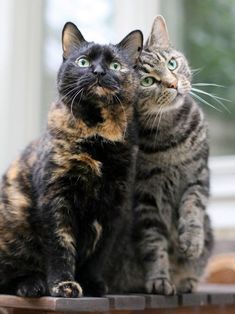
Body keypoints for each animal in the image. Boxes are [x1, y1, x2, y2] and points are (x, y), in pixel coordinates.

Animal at [0, 22, 143, 296]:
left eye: (116, 65)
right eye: (83, 61)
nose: (98, 71)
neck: (99, 138)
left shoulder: (114, 206)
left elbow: (99, 254)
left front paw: (93, 284)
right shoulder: (56, 198)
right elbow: (61, 247)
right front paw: (63, 285)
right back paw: (33, 285)